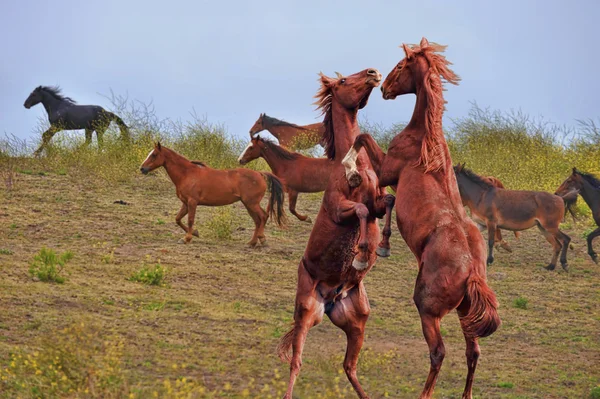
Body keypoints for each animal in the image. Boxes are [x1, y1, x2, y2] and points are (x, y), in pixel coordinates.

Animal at [278, 69, 398, 399]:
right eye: (343, 81)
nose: (373, 73)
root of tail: (330, 299)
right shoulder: (339, 209)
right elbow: (360, 212)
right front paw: (361, 255)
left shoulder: (378, 203)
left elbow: (388, 202)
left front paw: (381, 245)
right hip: (306, 312)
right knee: (296, 362)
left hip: (357, 321)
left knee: (349, 367)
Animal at [342, 38, 502, 399]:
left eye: (401, 66)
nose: (384, 87)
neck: (424, 144)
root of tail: (471, 272)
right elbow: (386, 200)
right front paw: (383, 243)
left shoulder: (388, 170)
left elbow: (362, 139)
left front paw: (350, 169)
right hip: (465, 313)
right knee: (473, 351)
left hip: (427, 309)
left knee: (439, 352)